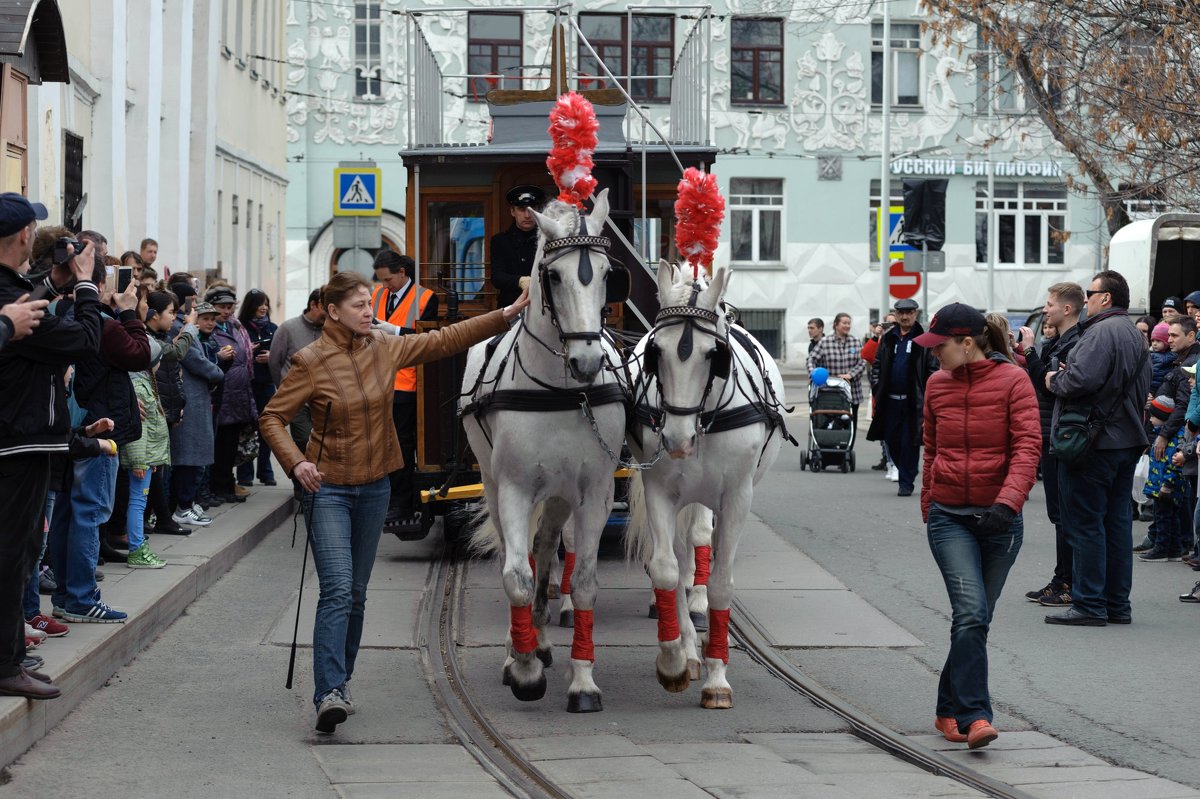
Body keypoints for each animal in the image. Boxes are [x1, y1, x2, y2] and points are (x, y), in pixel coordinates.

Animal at [460, 91, 628, 710]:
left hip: (559, 492)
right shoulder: (512, 485)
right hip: (494, 478)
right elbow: (516, 572)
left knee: (549, 540)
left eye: (606, 274)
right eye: (551, 277)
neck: (560, 393)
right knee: (528, 553)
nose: (585, 362)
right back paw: (524, 647)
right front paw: (524, 666)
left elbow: (583, 581)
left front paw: (582, 680)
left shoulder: (594, 489)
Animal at [624, 166, 792, 705]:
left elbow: (719, 582)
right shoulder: (660, 488)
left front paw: (718, 677)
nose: (677, 440)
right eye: (655, 353)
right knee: (680, 556)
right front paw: (677, 659)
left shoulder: (736, 497)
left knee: (700, 543)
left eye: (712, 354)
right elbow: (666, 569)